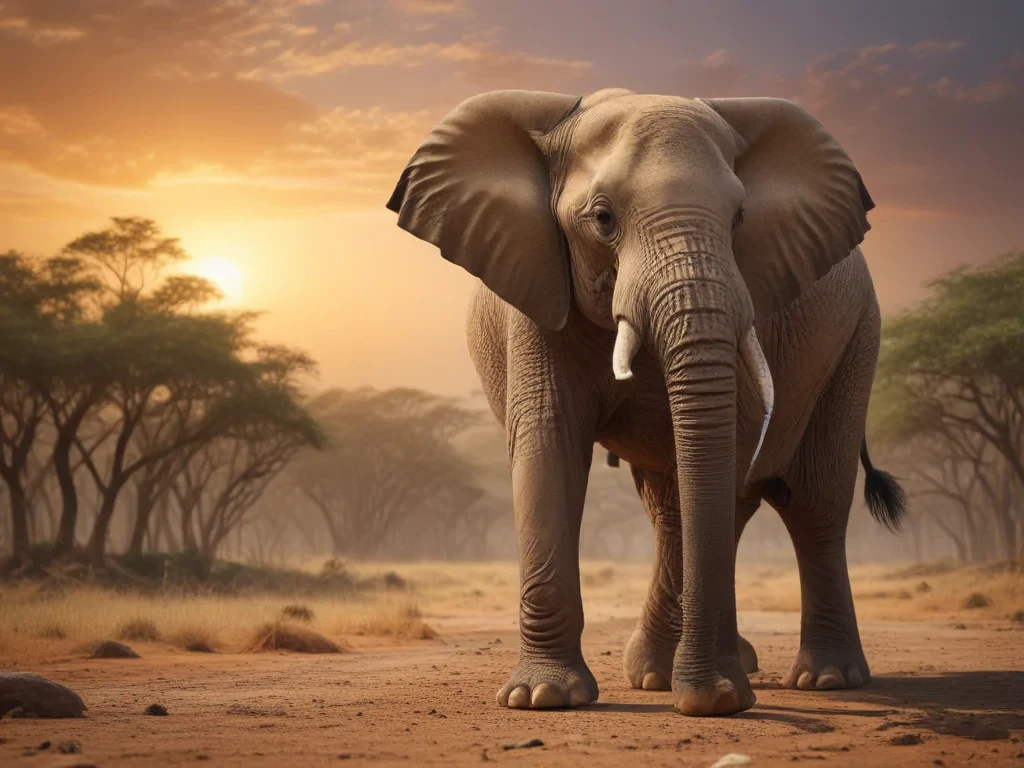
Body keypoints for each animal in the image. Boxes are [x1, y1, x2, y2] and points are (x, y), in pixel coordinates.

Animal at [386, 88, 906, 716]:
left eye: (740, 219)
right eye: (602, 219)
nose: (712, 701)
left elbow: (721, 457)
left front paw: (718, 693)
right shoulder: (537, 289)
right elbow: (549, 443)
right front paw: (543, 698)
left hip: (857, 339)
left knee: (812, 504)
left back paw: (826, 679)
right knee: (677, 507)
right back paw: (663, 676)